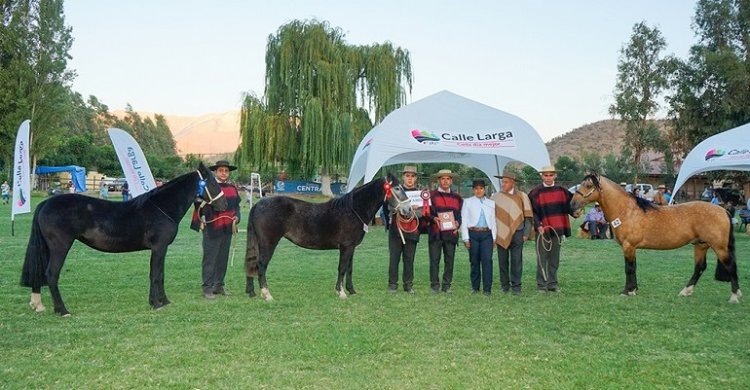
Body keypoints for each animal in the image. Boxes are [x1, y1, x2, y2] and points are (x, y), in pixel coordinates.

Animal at [22, 162, 228, 316]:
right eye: (212, 183)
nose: (224, 204)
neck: (162, 207)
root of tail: (46, 203)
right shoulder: (159, 247)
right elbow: (155, 275)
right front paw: (156, 304)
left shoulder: (161, 249)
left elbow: (160, 275)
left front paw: (163, 301)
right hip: (60, 246)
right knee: (51, 274)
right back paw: (62, 310)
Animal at [245, 175, 412, 300]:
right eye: (397, 188)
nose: (408, 209)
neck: (353, 210)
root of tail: (258, 205)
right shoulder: (346, 247)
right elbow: (342, 268)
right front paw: (341, 292)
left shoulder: (351, 247)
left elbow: (349, 268)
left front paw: (351, 290)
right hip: (268, 243)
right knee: (261, 265)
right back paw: (267, 294)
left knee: (252, 264)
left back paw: (252, 292)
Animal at [572, 174, 744, 304]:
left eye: (588, 185)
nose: (573, 205)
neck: (627, 211)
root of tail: (723, 210)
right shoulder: (632, 248)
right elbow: (634, 268)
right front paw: (633, 289)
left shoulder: (628, 246)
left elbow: (629, 268)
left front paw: (627, 291)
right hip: (701, 245)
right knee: (699, 268)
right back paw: (685, 291)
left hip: (720, 248)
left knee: (730, 266)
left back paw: (734, 297)